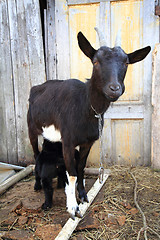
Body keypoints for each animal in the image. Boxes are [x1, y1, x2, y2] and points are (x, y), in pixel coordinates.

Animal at [26, 29, 151, 218]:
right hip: (31, 129)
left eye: (126, 62)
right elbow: (71, 173)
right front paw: (73, 208)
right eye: (96, 61)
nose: (114, 89)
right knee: (35, 153)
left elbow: (81, 168)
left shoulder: (88, 142)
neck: (85, 105)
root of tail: (36, 88)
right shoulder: (68, 142)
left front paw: (83, 196)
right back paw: (37, 185)